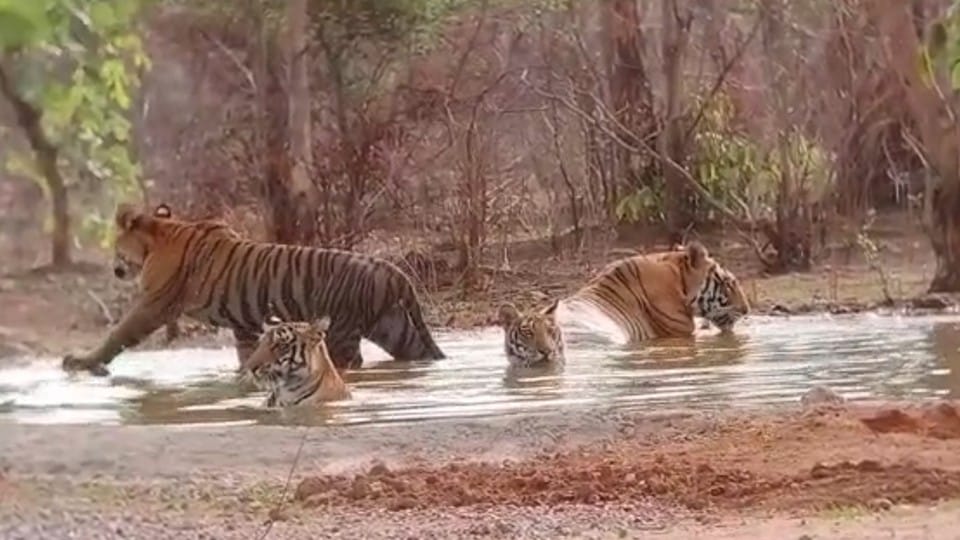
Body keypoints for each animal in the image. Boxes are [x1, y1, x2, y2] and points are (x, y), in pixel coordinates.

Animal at [62, 202, 446, 376]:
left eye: (115, 245)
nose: (114, 268)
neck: (159, 236)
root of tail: (390, 268)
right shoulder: (243, 322)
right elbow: (245, 353)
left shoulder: (153, 304)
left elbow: (118, 333)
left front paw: (82, 361)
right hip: (394, 327)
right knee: (415, 351)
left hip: (344, 332)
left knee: (350, 360)